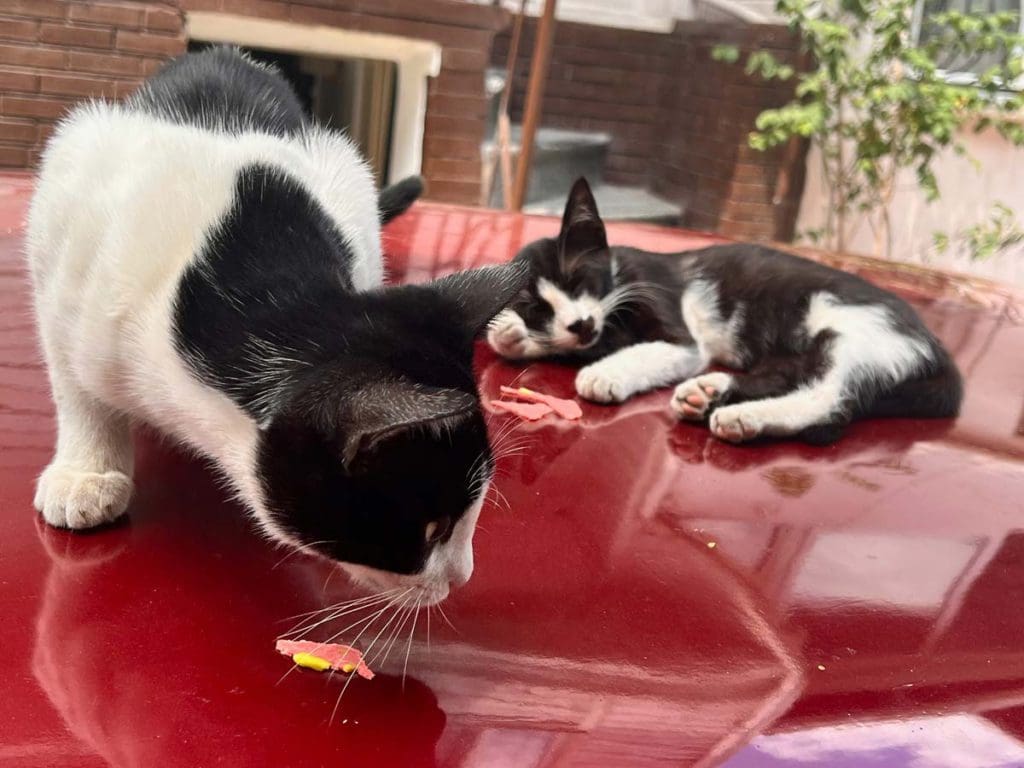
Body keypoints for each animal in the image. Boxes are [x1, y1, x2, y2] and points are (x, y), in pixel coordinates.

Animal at [487, 179, 958, 444]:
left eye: (580, 280)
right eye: (538, 306)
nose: (580, 323)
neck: (619, 280)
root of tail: (936, 349)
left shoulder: (670, 316)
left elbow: (648, 349)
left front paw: (606, 372)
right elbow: (571, 343)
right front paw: (513, 333)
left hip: (851, 329)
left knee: (828, 398)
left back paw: (743, 416)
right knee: (791, 375)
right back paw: (707, 393)